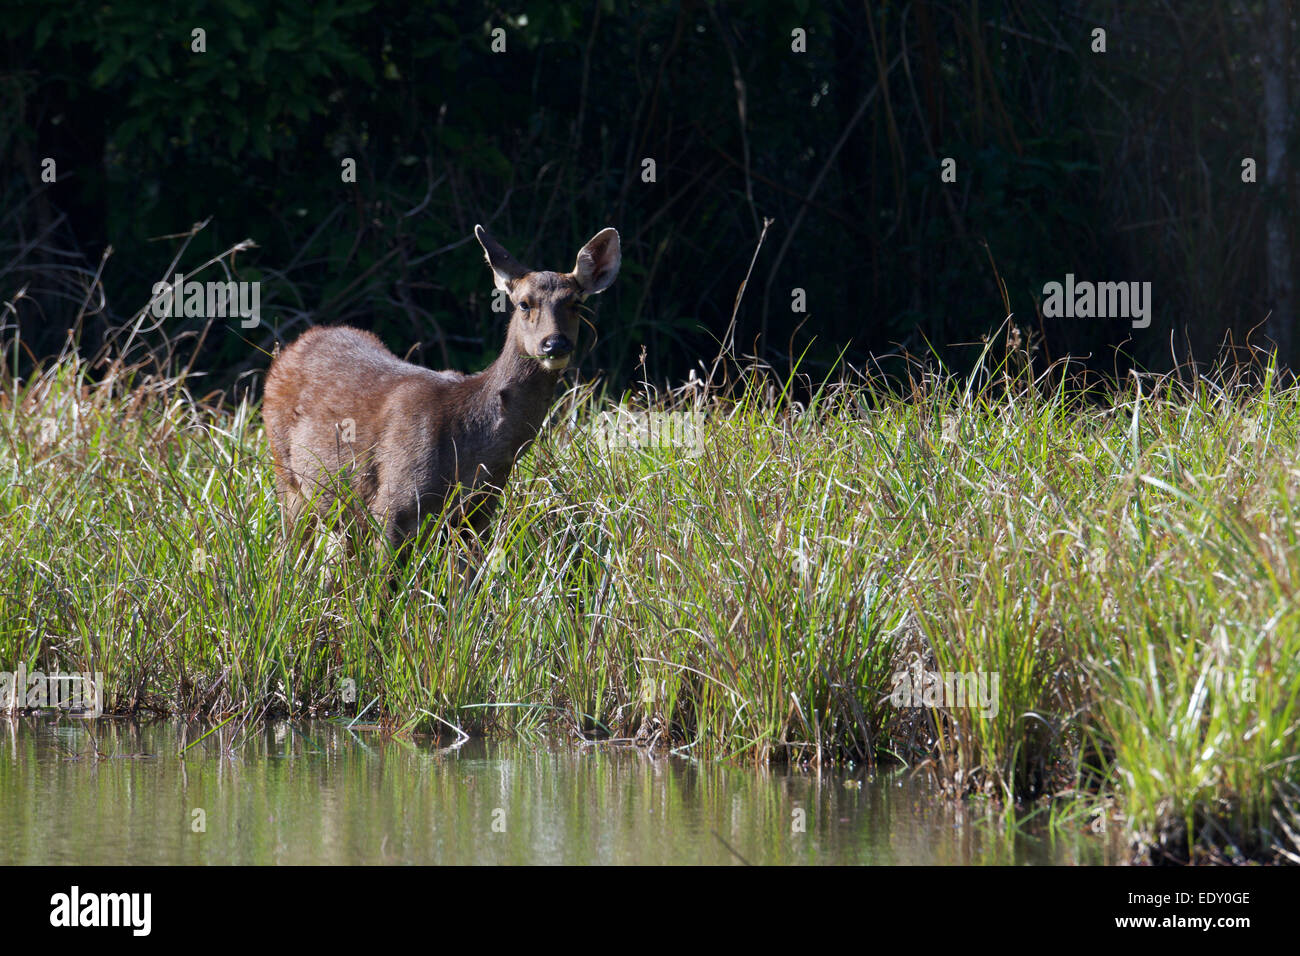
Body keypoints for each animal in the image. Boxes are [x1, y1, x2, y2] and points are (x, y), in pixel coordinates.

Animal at [262, 223, 618, 564]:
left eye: (576, 303)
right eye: (524, 303)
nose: (554, 343)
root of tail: (292, 347)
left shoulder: (479, 512)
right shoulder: (393, 504)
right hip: (286, 474)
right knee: (286, 551)